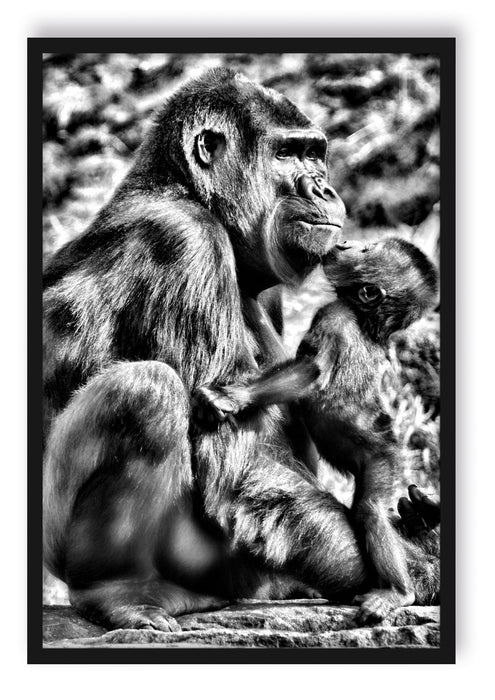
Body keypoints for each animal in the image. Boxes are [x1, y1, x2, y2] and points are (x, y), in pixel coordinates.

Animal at [192, 236, 440, 622]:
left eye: (366, 251)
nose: (348, 242)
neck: (366, 319)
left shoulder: (334, 315)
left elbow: (312, 369)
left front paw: (233, 397)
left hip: (385, 458)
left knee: (371, 510)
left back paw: (399, 592)